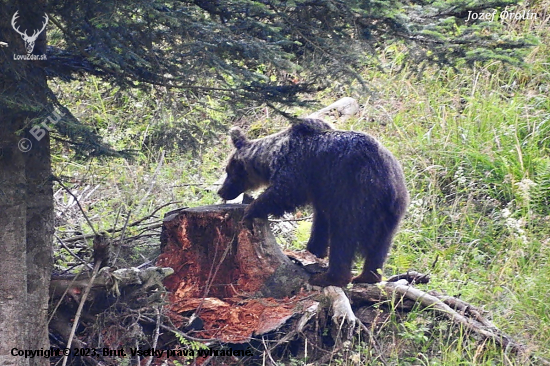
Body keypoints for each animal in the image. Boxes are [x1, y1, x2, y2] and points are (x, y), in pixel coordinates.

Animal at [217, 118, 410, 288]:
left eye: (228, 171)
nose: (221, 191)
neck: (270, 158)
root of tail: (384, 178)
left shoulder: (299, 167)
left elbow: (284, 191)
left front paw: (251, 210)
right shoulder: (322, 192)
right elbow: (321, 221)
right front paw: (312, 250)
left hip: (356, 194)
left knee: (344, 236)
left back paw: (329, 278)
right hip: (392, 208)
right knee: (381, 244)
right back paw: (367, 276)